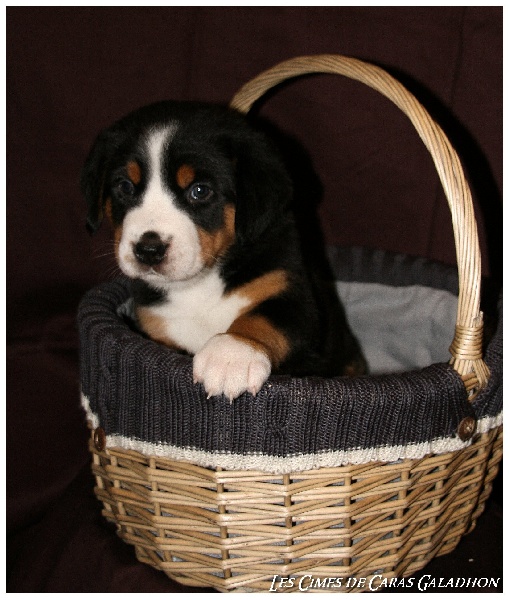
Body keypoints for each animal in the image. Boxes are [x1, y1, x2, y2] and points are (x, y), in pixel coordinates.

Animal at [81, 101, 365, 400]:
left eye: (199, 191)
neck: (200, 283)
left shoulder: (292, 295)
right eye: (125, 186)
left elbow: (262, 318)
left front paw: (231, 354)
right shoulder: (153, 321)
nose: (148, 249)